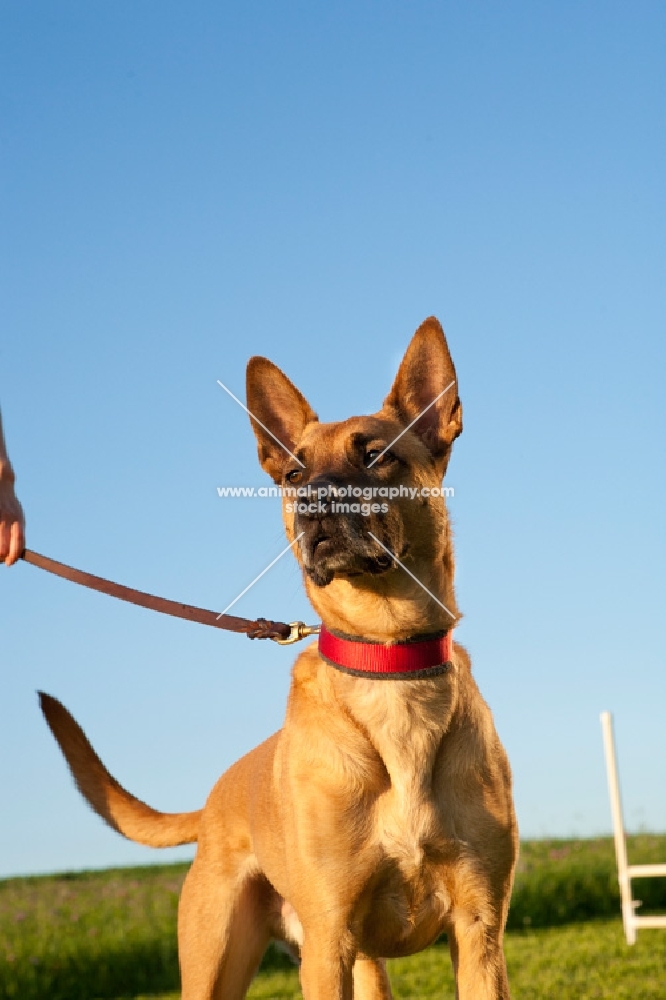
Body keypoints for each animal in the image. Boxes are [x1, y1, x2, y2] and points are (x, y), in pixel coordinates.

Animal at [41, 318, 516, 1000]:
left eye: (376, 455)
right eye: (293, 474)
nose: (314, 507)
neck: (388, 662)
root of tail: (214, 799)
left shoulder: (479, 930)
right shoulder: (329, 941)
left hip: (362, 962)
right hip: (218, 959)